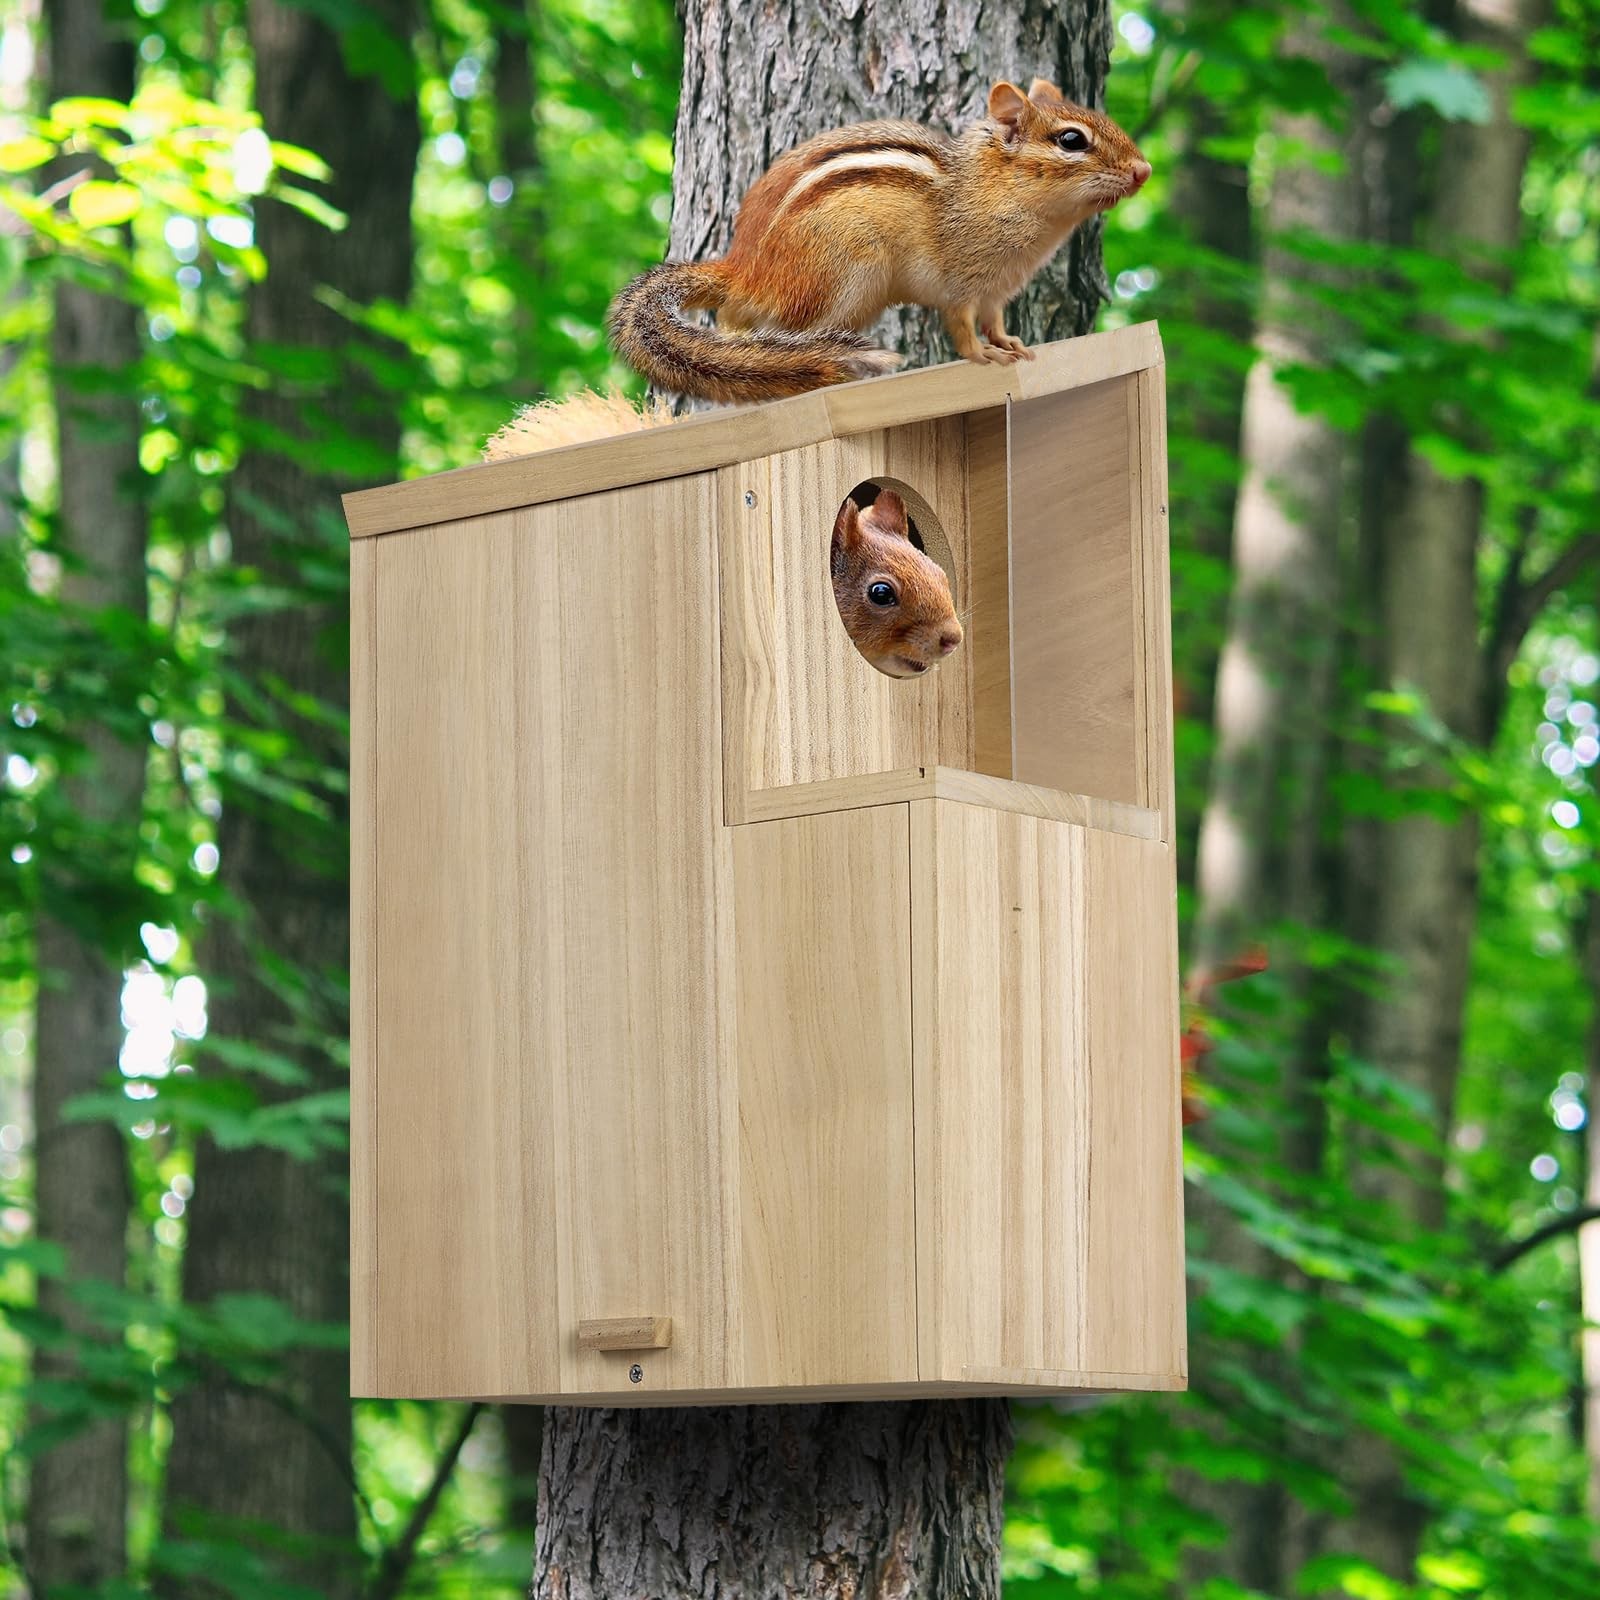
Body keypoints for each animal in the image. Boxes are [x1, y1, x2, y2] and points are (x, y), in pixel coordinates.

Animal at [608, 78, 1151, 403]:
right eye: (1071, 140)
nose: (1144, 170)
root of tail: (743, 270)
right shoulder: (960, 284)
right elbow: (962, 328)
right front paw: (983, 357)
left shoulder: (997, 290)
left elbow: (995, 322)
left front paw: (1012, 345)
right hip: (841, 277)